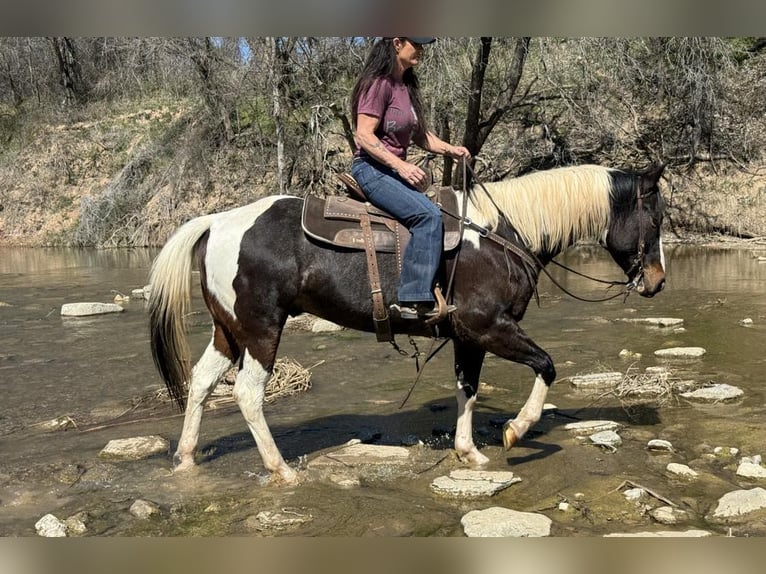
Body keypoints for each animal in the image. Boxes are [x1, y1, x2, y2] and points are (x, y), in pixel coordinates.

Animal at [148, 164, 664, 484]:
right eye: (655, 220)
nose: (657, 282)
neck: (502, 234)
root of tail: (217, 221)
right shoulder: (488, 327)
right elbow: (547, 366)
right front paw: (516, 430)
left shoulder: (467, 337)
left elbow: (467, 389)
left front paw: (469, 452)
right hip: (261, 330)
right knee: (248, 393)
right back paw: (282, 470)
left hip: (229, 330)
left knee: (201, 382)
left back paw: (186, 459)